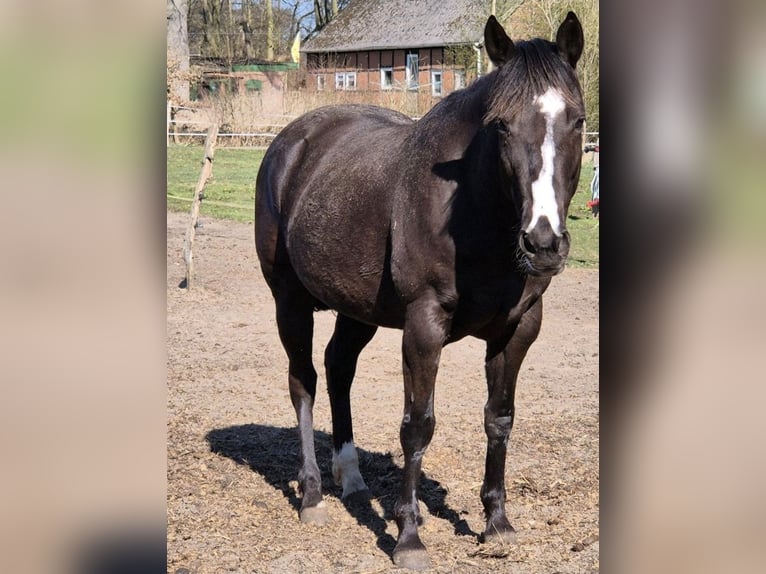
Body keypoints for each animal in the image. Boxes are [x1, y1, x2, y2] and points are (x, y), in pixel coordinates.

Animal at [254, 13, 585, 570]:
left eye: (578, 120)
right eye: (501, 125)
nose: (542, 242)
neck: (473, 212)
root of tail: (292, 141)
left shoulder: (519, 328)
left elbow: (499, 419)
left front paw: (497, 523)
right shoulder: (423, 326)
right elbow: (417, 426)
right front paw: (408, 537)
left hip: (356, 309)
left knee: (339, 367)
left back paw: (353, 480)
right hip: (290, 302)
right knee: (304, 381)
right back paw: (314, 494)